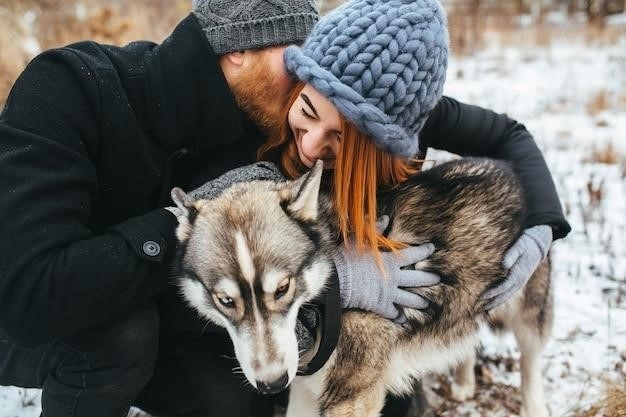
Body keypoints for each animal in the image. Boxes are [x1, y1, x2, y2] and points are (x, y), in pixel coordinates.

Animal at [168, 158, 548, 416]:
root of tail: (506, 166)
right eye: (225, 300)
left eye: (282, 288)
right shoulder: (305, 388)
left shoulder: (351, 397)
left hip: (527, 314)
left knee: (531, 362)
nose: (271, 383)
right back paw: (465, 382)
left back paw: (533, 407)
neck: (330, 293)